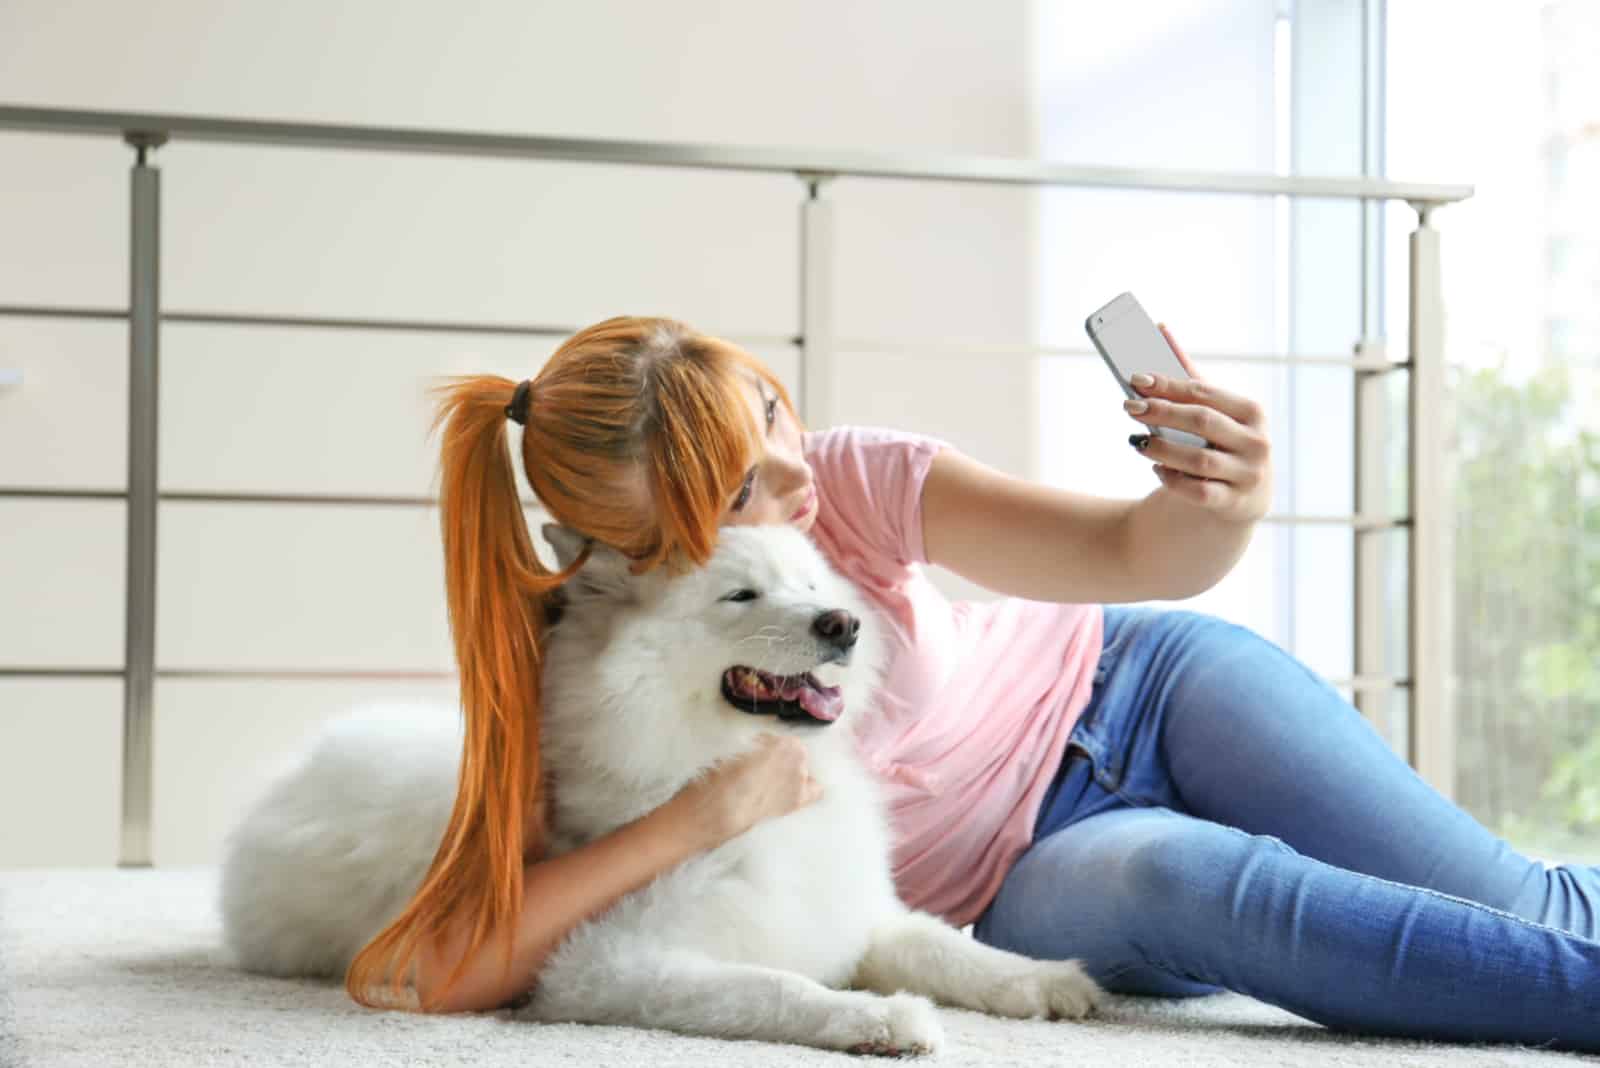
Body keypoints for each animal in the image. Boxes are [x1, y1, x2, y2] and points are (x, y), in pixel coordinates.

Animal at [222, 521, 1100, 1055]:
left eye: (811, 586)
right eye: (742, 595)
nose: (843, 625)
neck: (710, 767)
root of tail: (294, 768)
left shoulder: (860, 915)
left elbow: (948, 948)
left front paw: (1053, 981)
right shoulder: (606, 965)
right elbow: (775, 987)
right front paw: (880, 1018)